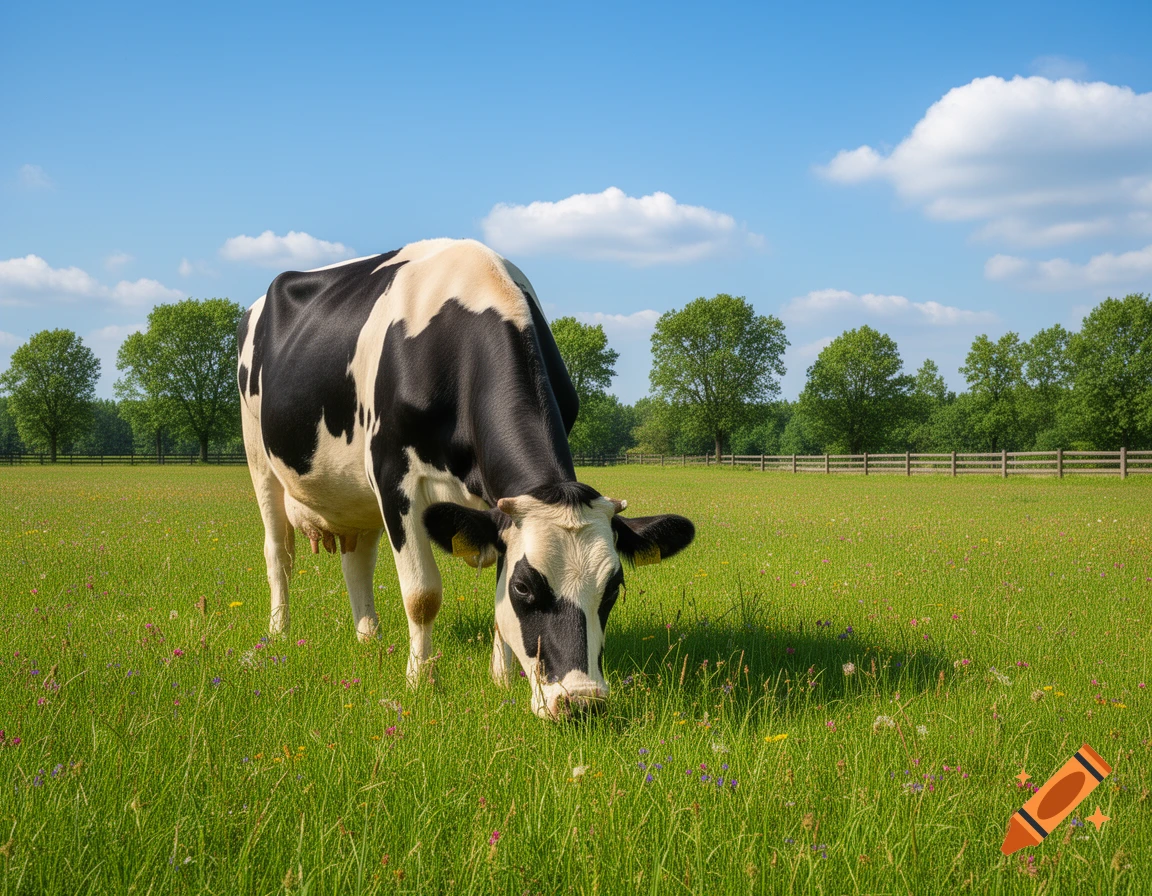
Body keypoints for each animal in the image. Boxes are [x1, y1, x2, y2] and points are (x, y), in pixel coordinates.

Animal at [237, 239, 694, 719]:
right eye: (524, 586)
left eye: (613, 589)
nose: (582, 701)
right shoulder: (393, 478)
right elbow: (422, 595)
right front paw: (421, 682)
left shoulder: (497, 508)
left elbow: (494, 602)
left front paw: (501, 679)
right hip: (259, 457)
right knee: (278, 554)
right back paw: (279, 633)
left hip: (354, 494)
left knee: (357, 559)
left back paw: (368, 638)